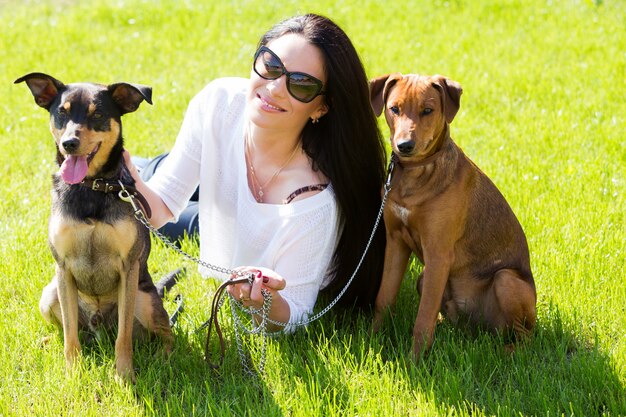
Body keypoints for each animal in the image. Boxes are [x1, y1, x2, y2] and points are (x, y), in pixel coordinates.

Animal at [15, 72, 171, 380]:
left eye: (97, 114)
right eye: (61, 113)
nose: (69, 143)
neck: (92, 186)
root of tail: (100, 328)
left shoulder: (128, 266)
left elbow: (124, 336)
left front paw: (124, 375)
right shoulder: (63, 267)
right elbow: (70, 335)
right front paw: (72, 373)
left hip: (145, 300)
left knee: (166, 334)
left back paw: (164, 358)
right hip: (49, 294)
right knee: (70, 330)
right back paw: (48, 341)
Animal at [370, 72, 536, 358]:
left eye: (428, 110)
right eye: (394, 109)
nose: (404, 146)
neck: (416, 173)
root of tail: (480, 327)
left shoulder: (438, 254)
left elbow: (422, 318)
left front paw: (414, 361)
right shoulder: (395, 242)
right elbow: (384, 298)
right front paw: (372, 340)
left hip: (506, 280)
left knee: (525, 338)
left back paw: (503, 353)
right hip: (425, 279)